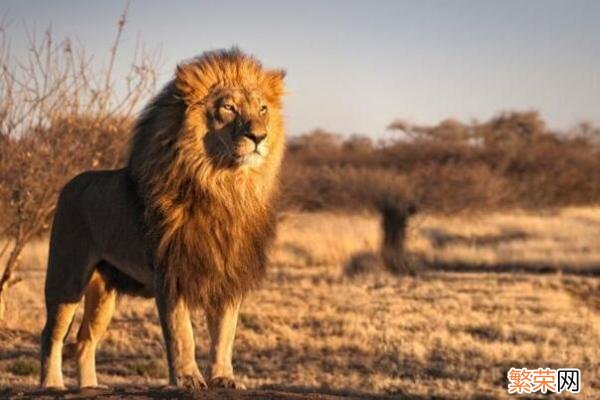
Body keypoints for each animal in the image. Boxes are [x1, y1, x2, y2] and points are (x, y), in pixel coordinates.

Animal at [41, 48, 288, 390]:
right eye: (228, 108)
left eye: (263, 109)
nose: (259, 136)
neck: (224, 187)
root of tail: (69, 184)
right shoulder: (170, 272)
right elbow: (182, 334)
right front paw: (187, 379)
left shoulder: (228, 274)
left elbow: (225, 334)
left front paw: (223, 378)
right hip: (67, 276)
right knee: (51, 334)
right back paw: (51, 385)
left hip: (104, 291)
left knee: (84, 340)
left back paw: (90, 387)